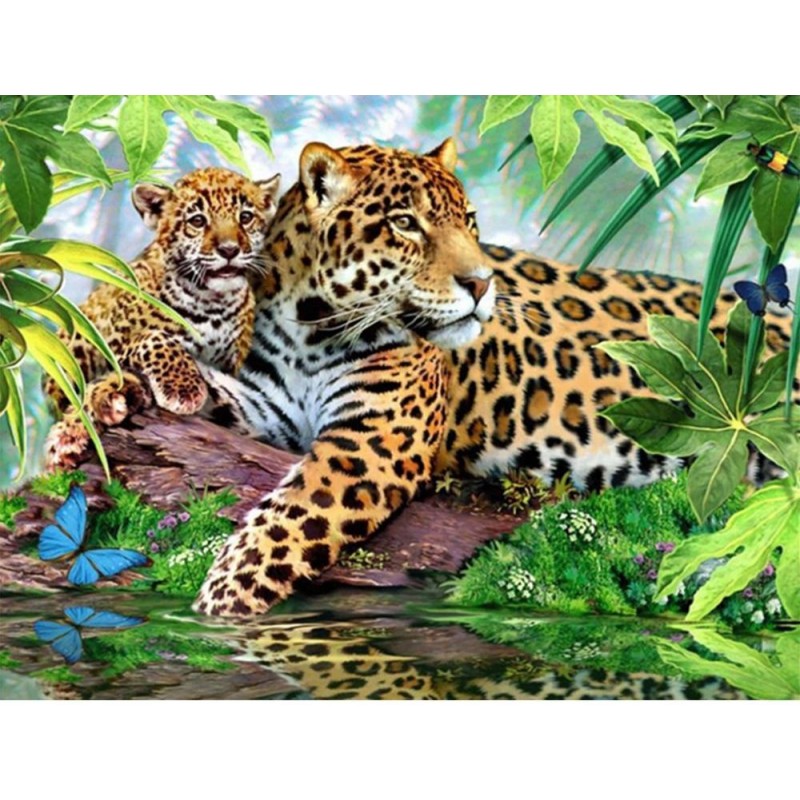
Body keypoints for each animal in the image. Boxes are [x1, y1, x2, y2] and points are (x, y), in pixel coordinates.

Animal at [44, 166, 281, 468]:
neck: (211, 302)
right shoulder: (113, 346)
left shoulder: (231, 366)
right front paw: (184, 389)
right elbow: (154, 338)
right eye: (197, 221)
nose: (229, 250)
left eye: (246, 217)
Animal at [188, 138, 795, 618]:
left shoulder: (375, 441)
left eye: (470, 221)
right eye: (405, 223)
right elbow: (210, 394)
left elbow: (289, 519)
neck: (310, 329)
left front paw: (219, 601)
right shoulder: (270, 408)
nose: (482, 284)